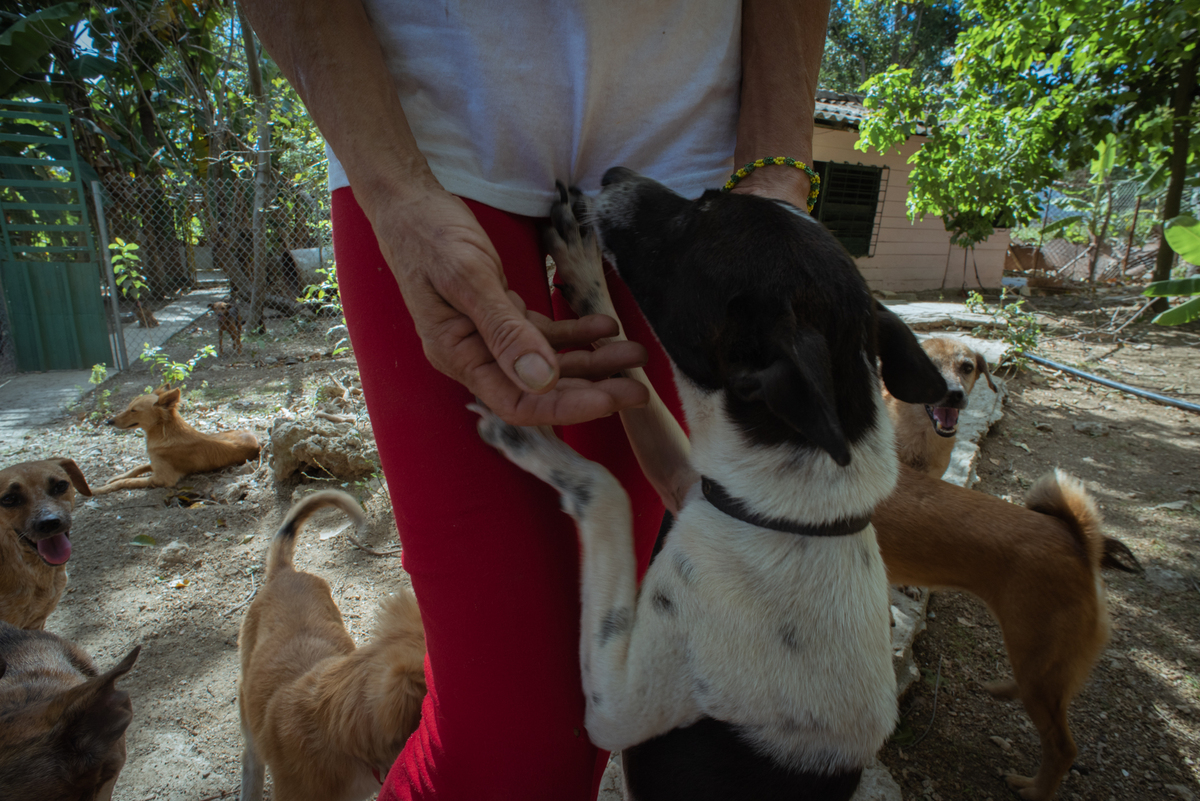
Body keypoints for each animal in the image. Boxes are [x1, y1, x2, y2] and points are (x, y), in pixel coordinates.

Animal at [93, 385, 260, 494]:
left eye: (133, 410)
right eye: (128, 407)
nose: (108, 422)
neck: (165, 433)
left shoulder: (163, 479)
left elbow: (127, 481)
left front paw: (99, 489)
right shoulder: (155, 463)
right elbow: (137, 468)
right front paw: (114, 478)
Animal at [473, 174, 948, 800]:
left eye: (700, 214)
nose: (615, 174)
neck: (787, 520)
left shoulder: (613, 704)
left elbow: (606, 487)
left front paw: (527, 435)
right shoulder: (689, 481)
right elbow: (632, 368)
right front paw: (583, 272)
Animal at [874, 467, 1140, 800]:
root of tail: (1079, 544)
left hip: (1035, 662)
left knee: (1063, 749)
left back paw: (1034, 790)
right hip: (1037, 662)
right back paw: (1003, 690)